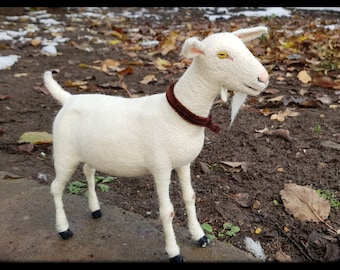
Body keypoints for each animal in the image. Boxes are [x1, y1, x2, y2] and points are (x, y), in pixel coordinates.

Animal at [44, 25, 268, 262]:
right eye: (222, 55)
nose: (263, 77)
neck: (178, 114)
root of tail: (69, 99)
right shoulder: (161, 167)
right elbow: (167, 211)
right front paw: (174, 252)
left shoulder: (184, 163)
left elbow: (190, 197)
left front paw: (200, 236)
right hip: (64, 153)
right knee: (56, 187)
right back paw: (64, 229)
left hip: (91, 152)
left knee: (88, 171)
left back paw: (95, 210)